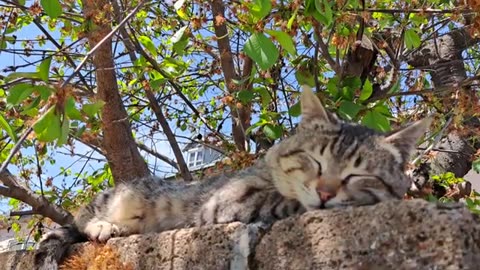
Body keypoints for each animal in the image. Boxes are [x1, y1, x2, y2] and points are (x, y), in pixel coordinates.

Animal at [33, 86, 432, 268]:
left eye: (357, 173)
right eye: (316, 162)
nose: (325, 193)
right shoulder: (228, 201)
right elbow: (279, 201)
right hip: (121, 195)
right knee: (81, 220)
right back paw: (103, 226)